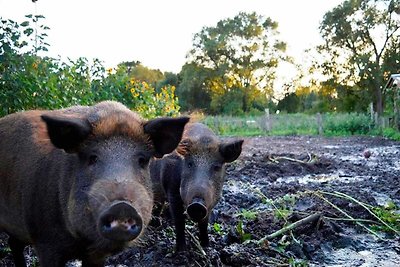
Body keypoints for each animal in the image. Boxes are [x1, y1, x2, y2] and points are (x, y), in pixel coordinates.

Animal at [0, 101, 189, 266]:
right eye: (92, 158)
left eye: (142, 160)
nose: (122, 206)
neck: (81, 244)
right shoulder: (45, 242)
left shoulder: (96, 255)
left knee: (14, 244)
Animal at [151, 122, 242, 252]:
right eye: (189, 164)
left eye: (217, 167)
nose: (197, 205)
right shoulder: (172, 191)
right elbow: (179, 221)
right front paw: (181, 250)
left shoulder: (211, 202)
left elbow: (204, 224)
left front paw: (206, 245)